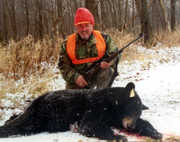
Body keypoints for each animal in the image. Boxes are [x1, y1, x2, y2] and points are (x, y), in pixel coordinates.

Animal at [0, 82, 162, 141]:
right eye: (131, 108)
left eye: (138, 112)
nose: (130, 126)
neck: (111, 106)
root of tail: (37, 99)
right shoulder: (95, 107)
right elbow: (90, 125)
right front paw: (118, 136)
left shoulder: (116, 118)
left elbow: (144, 123)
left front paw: (155, 133)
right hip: (41, 113)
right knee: (23, 124)